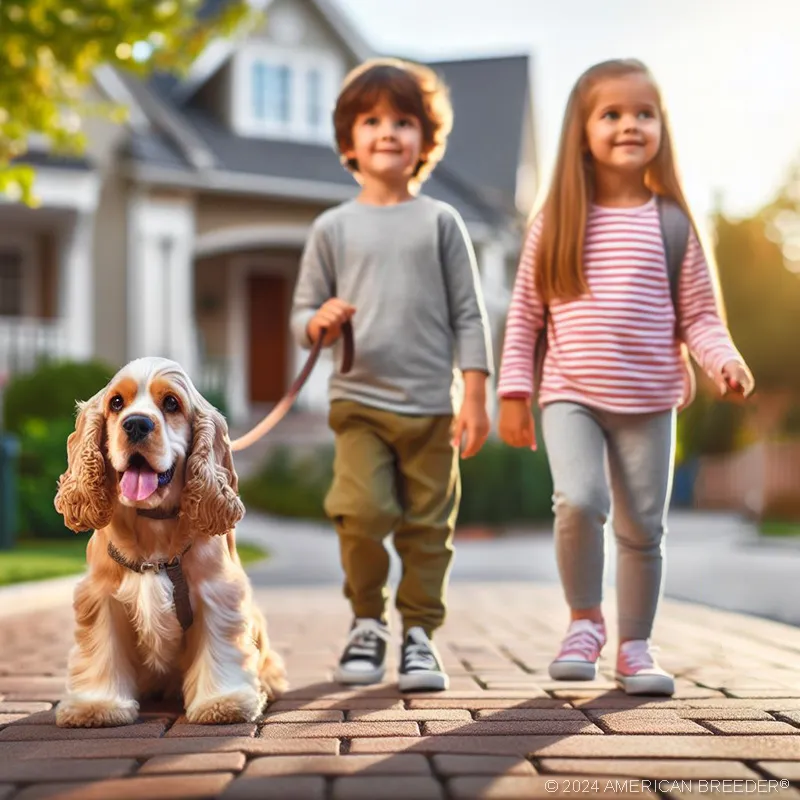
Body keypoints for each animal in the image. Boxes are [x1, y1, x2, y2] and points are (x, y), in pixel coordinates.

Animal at [53, 356, 286, 724]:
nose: (136, 424)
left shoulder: (216, 593)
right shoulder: (100, 596)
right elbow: (102, 648)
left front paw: (222, 702)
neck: (153, 526)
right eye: (116, 403)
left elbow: (219, 648)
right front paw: (97, 705)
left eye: (171, 403)